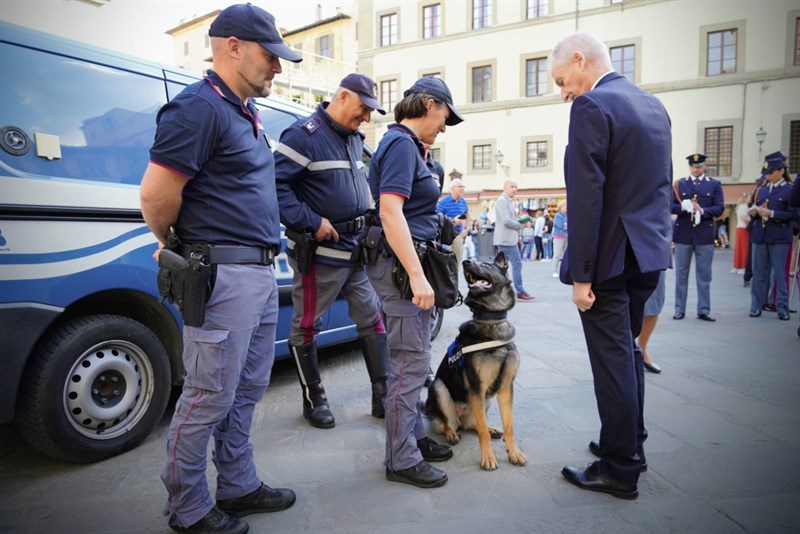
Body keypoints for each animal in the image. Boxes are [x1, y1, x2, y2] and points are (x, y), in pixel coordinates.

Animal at [422, 253, 528, 472]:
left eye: (486, 264)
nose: (465, 262)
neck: (492, 321)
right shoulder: (477, 388)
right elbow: (482, 434)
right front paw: (488, 458)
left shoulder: (506, 388)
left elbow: (509, 427)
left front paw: (513, 453)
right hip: (439, 388)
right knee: (448, 423)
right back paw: (451, 433)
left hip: (484, 402)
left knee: (474, 424)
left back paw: (491, 427)